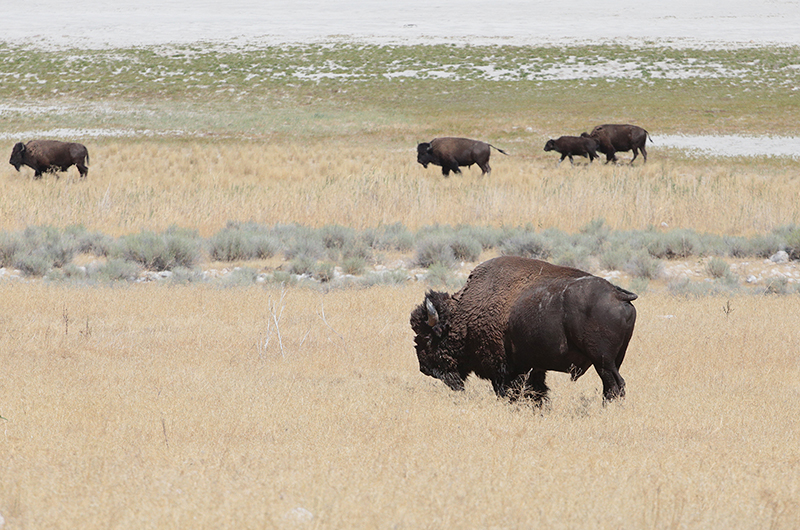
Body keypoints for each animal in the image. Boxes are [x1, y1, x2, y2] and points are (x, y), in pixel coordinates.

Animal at [410, 256, 637, 405]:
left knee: (614, 385)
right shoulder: (532, 367)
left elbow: (510, 391)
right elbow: (537, 391)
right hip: (614, 359)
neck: (464, 314)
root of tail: (618, 295)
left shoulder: (503, 369)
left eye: (427, 338)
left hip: (602, 361)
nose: (423, 368)